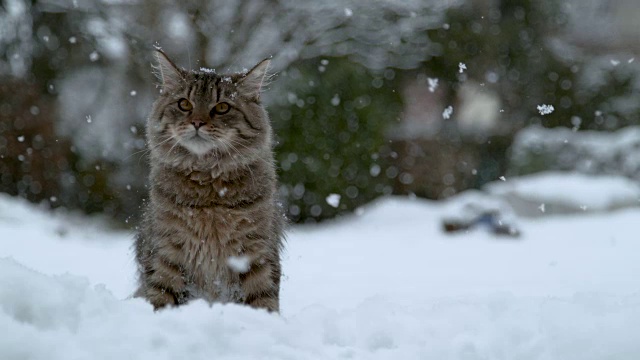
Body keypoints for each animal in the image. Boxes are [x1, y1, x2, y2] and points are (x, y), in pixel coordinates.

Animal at [134, 49, 284, 314]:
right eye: (184, 104)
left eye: (222, 107)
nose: (197, 122)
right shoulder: (167, 249)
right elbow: (161, 295)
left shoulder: (256, 252)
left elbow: (262, 300)